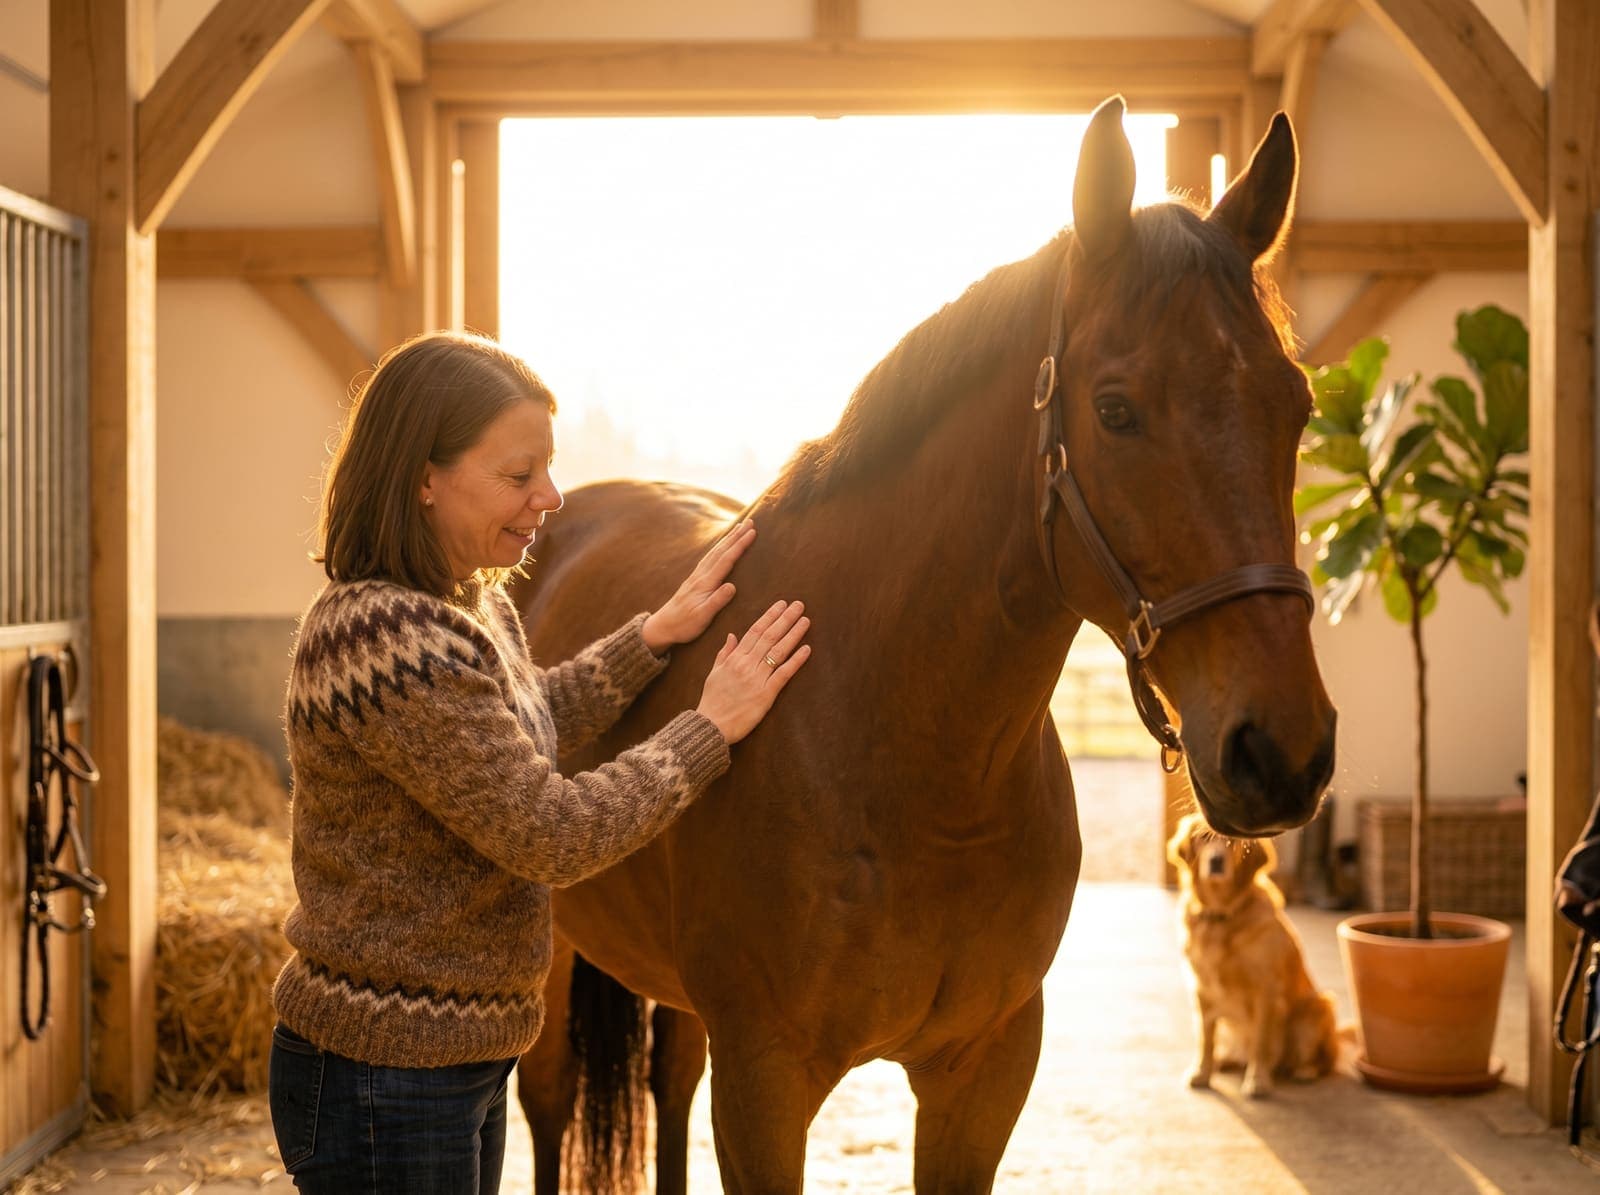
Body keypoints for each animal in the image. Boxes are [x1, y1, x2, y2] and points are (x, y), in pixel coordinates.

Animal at [509, 96, 1336, 1193]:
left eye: (1298, 405)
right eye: (1116, 411)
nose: (1281, 751)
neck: (904, 758)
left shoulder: (983, 1069)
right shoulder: (764, 1081)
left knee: (667, 1086)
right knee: (549, 1099)